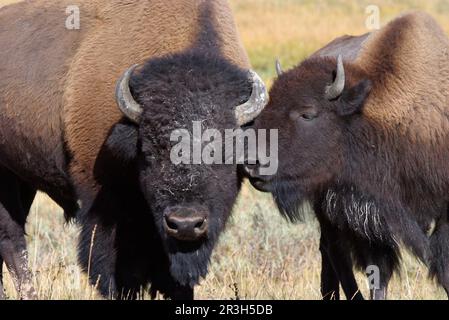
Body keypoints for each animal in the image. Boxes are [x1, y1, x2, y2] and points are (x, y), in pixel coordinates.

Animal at [0, 0, 266, 300]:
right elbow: (114, 266)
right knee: (12, 239)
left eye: (226, 153)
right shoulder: (103, 199)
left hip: (20, 179)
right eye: (149, 152)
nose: (185, 223)